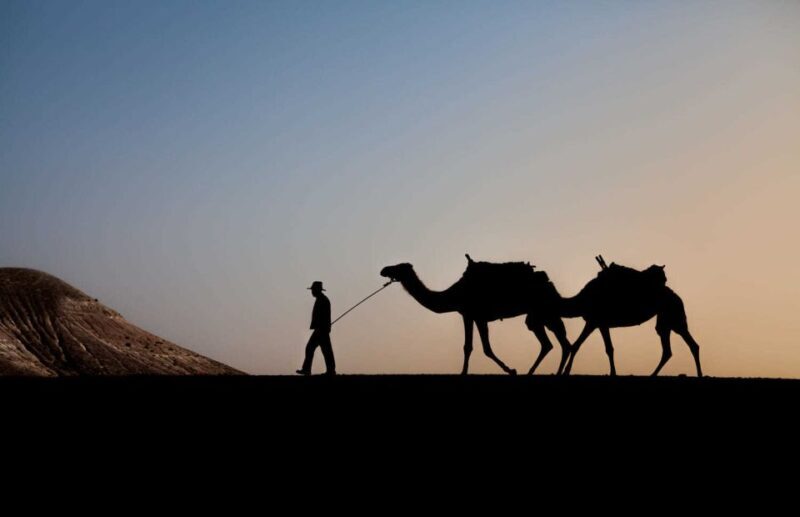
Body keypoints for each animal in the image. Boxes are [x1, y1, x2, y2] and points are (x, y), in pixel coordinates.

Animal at [380, 255, 571, 375]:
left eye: (398, 267)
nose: (383, 269)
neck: (454, 294)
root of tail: (548, 282)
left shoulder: (474, 315)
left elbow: (480, 348)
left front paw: (510, 370)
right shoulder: (471, 315)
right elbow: (473, 347)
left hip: (543, 311)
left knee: (559, 342)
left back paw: (552, 372)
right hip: (539, 314)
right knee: (553, 343)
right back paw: (541, 372)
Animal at [560, 257, 703, 377]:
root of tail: (678, 298)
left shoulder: (593, 321)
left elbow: (577, 345)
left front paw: (566, 371)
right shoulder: (601, 324)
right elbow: (608, 349)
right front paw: (613, 373)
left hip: (674, 317)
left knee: (687, 344)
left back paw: (698, 374)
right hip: (666, 320)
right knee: (672, 348)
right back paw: (654, 375)